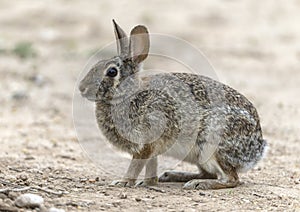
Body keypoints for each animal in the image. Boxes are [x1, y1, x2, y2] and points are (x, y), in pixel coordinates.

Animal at [78, 19, 266, 189]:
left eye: (111, 72)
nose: (81, 88)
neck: (130, 94)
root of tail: (257, 149)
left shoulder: (148, 139)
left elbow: (136, 164)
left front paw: (124, 182)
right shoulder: (151, 145)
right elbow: (151, 164)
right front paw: (148, 182)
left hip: (212, 144)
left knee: (231, 179)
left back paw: (198, 184)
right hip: (200, 155)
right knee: (210, 173)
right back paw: (173, 175)